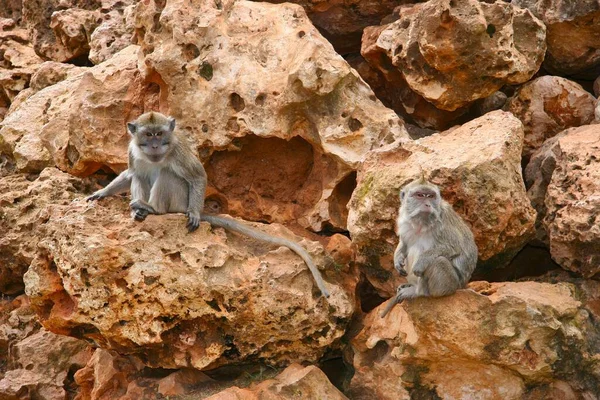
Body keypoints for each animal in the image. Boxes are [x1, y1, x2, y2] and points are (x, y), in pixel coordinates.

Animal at [88, 111, 332, 298]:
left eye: (160, 134)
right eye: (148, 134)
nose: (155, 145)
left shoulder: (178, 152)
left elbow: (197, 176)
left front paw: (195, 213)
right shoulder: (132, 152)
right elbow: (131, 173)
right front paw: (101, 192)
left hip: (179, 202)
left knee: (167, 175)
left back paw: (154, 210)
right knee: (139, 175)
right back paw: (139, 211)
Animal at [380, 177, 478, 318]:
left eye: (430, 196)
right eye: (420, 195)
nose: (427, 205)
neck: (421, 223)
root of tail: (463, 285)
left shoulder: (443, 221)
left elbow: (454, 247)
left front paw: (421, 262)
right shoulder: (404, 220)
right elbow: (405, 243)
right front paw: (397, 260)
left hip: (452, 284)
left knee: (437, 260)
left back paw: (418, 292)